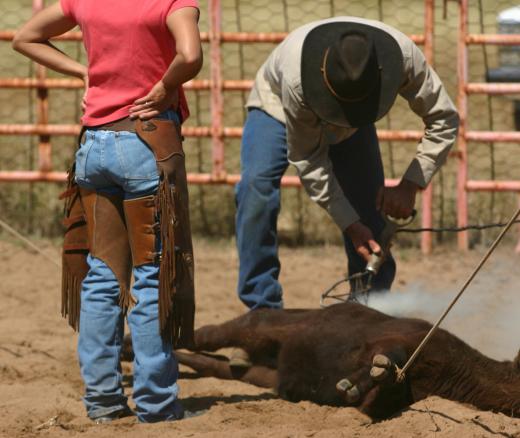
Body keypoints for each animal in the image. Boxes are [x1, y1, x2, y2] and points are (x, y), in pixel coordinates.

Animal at [123, 302, 520, 420]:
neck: (455, 368)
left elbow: (371, 401)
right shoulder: (404, 340)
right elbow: (386, 355)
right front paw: (368, 374)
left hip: (263, 375)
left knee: (217, 365)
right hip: (266, 326)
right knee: (208, 334)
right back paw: (128, 349)